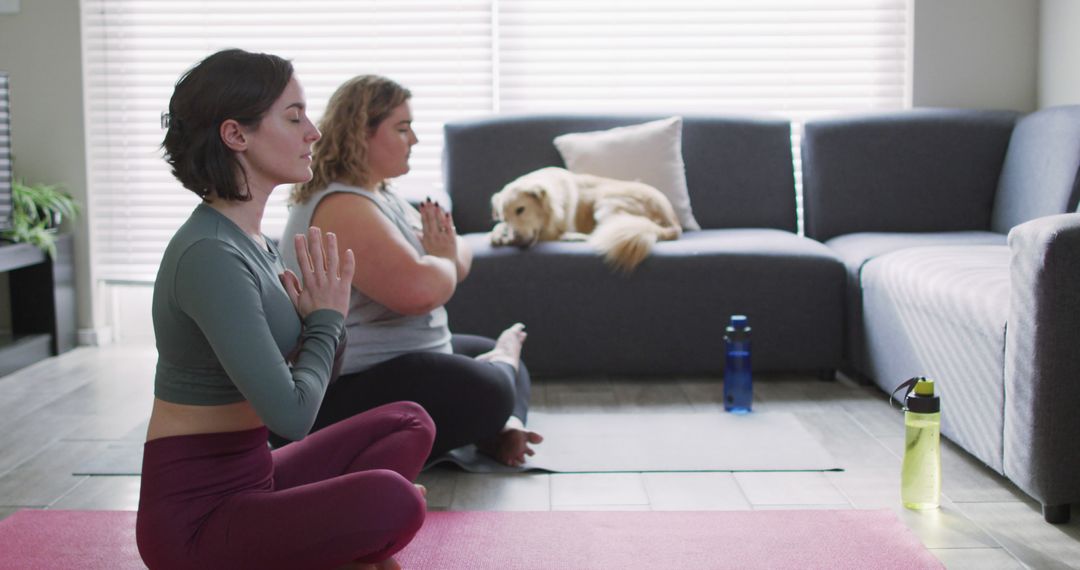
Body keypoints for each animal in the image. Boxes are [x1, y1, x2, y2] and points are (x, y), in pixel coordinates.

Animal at [492, 167, 682, 272]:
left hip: (605, 202)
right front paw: (498, 234)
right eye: (505, 217)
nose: (515, 240)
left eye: (520, 210)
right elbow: (498, 227)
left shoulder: (552, 230)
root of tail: (673, 223)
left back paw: (572, 237)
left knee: (600, 234)